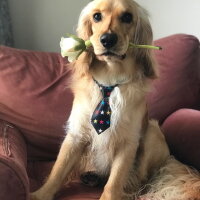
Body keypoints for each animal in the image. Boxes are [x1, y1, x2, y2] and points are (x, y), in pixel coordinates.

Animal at [30, 0, 200, 200]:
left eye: (127, 17)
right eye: (97, 16)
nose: (107, 39)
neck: (109, 83)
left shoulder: (128, 142)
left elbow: (114, 182)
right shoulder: (76, 134)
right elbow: (58, 170)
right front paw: (40, 194)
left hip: (151, 131)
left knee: (140, 179)